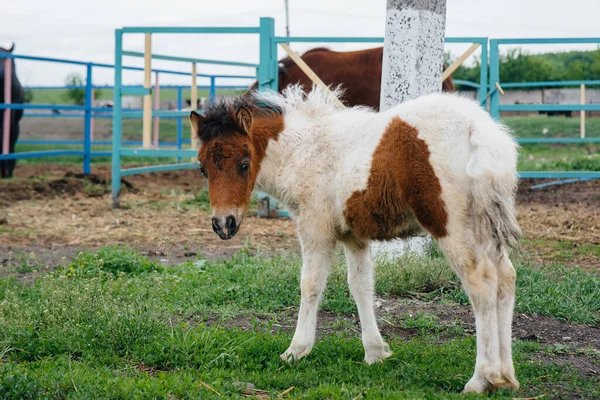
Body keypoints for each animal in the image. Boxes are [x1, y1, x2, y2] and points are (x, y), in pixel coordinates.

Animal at [191, 87, 520, 394]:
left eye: (244, 163)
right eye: (203, 168)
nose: (223, 224)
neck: (303, 149)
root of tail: (478, 129)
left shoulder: (315, 227)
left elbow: (310, 283)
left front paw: (295, 351)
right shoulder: (353, 235)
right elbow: (361, 285)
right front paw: (375, 352)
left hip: (449, 225)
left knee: (480, 283)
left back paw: (482, 378)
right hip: (485, 227)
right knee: (505, 278)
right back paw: (507, 376)